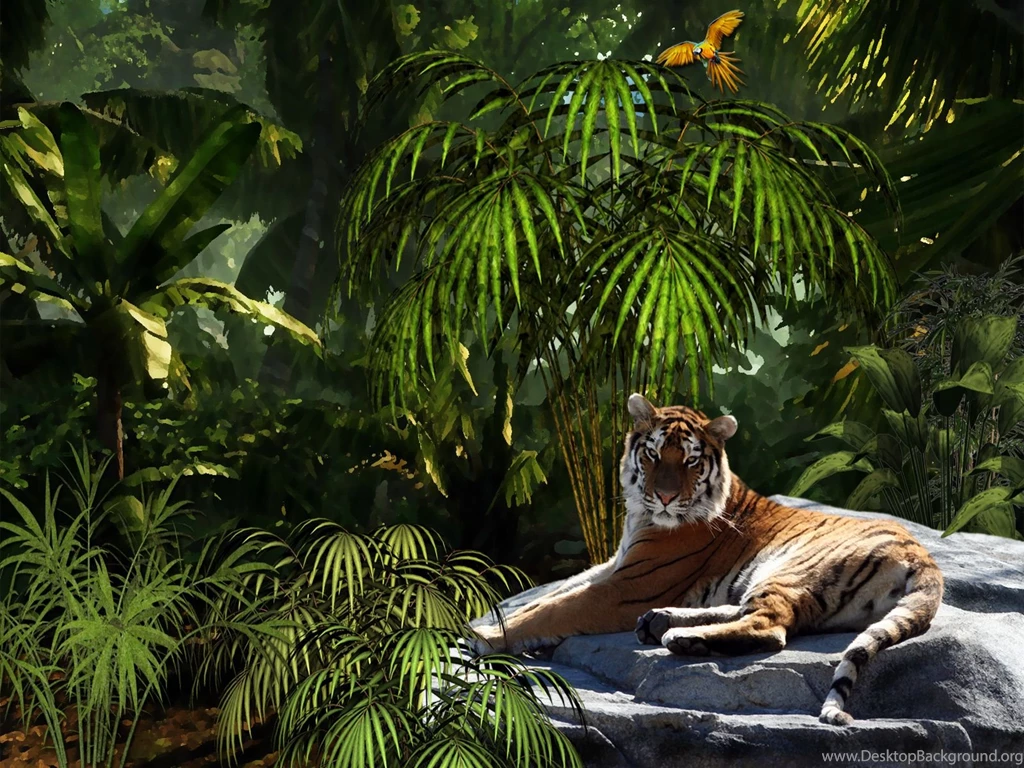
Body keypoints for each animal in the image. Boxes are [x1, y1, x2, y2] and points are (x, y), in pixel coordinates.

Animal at [472, 393, 944, 725]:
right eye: (652, 454)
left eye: (690, 460)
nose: (664, 496)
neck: (641, 515)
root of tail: (924, 556)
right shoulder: (614, 565)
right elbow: (549, 596)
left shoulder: (628, 586)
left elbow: (554, 608)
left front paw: (485, 637)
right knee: (751, 612)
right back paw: (661, 622)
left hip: (788, 567)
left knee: (771, 626)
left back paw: (681, 637)